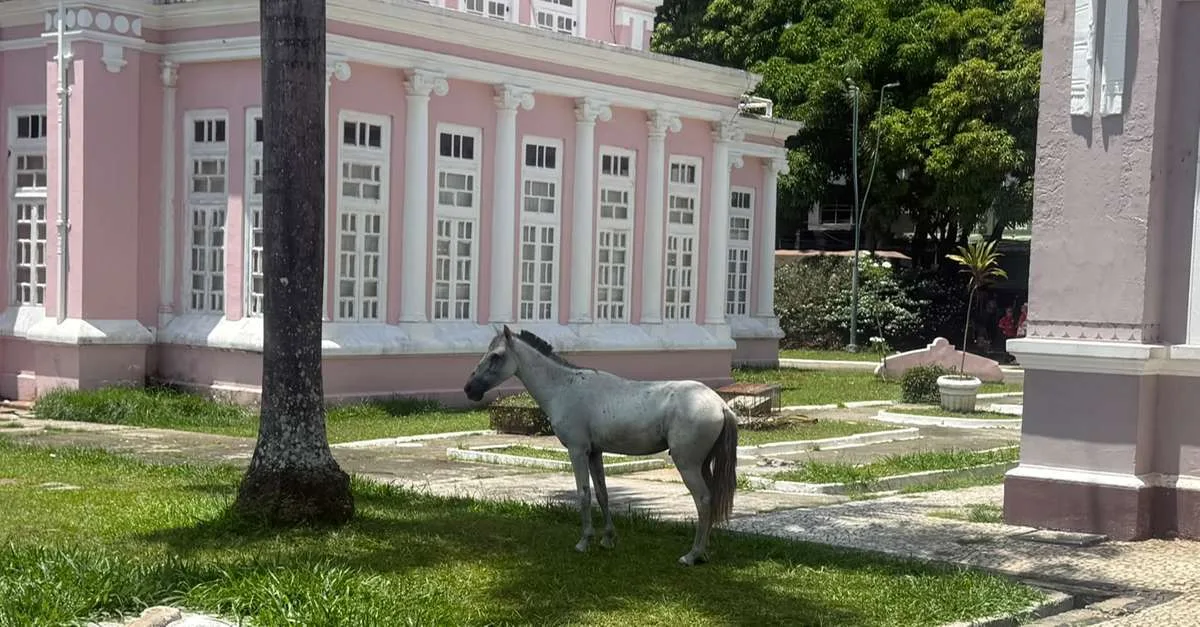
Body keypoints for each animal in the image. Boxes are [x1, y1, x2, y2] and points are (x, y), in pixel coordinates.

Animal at [463, 325, 739, 566]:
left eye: (496, 356)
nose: (469, 389)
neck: (564, 387)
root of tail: (720, 405)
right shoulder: (595, 452)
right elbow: (603, 494)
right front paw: (608, 539)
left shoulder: (577, 451)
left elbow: (583, 494)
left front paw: (584, 541)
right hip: (702, 465)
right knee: (711, 500)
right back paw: (703, 552)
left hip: (688, 465)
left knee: (703, 500)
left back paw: (692, 555)